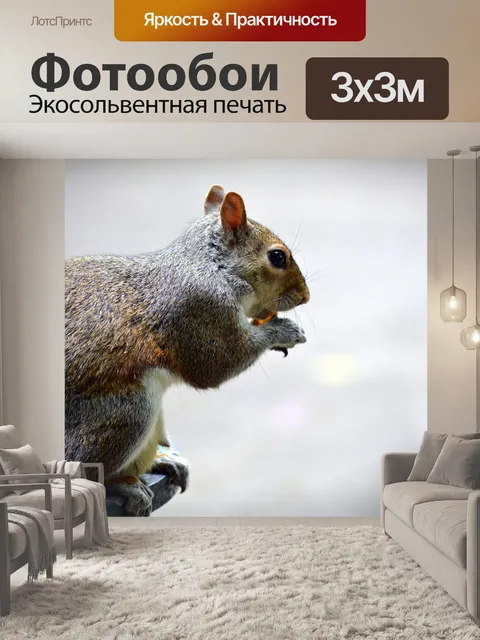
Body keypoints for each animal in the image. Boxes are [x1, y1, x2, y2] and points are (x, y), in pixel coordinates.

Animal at [65, 185, 310, 515]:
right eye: (277, 256)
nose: (305, 296)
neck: (213, 266)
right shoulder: (201, 309)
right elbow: (214, 365)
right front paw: (284, 331)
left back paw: (163, 460)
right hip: (127, 410)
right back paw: (123, 485)